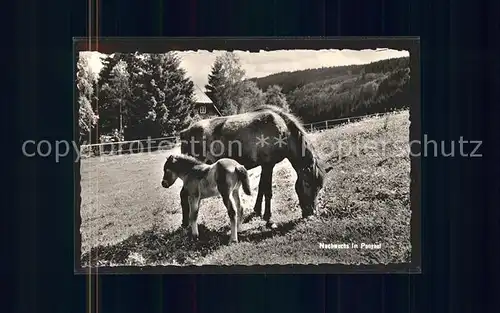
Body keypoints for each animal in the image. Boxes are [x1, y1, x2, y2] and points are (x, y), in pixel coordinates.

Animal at [180, 103, 332, 228]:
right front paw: (269, 218)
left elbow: (261, 188)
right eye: (307, 183)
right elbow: (267, 190)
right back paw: (186, 223)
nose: (311, 213)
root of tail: (185, 132)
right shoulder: (268, 165)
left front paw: (258, 211)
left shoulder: (265, 166)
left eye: (320, 187)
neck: (282, 130)